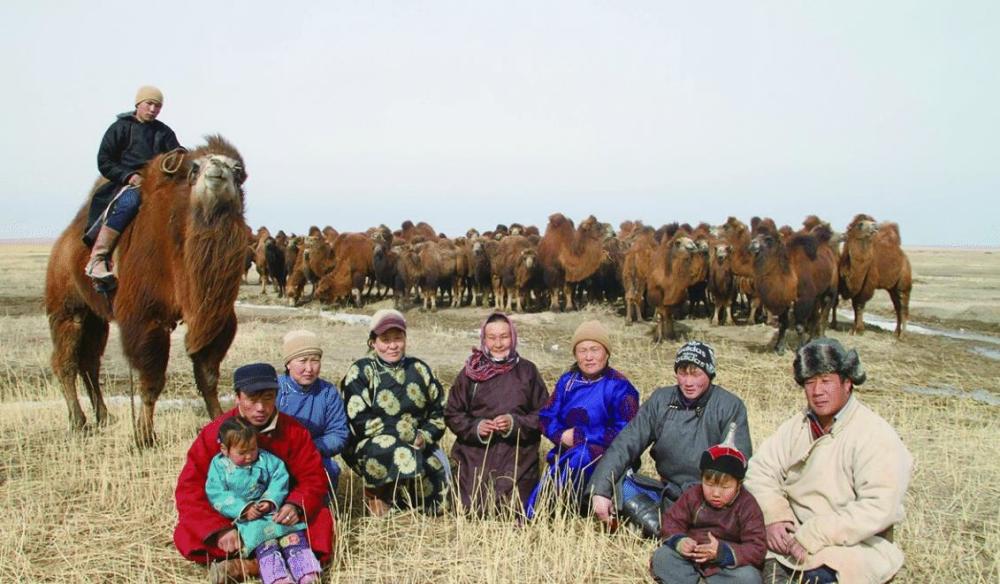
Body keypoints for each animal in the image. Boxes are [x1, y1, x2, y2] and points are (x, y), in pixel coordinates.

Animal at [45, 136, 250, 448]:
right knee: (65, 361)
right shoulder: (145, 315)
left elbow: (208, 374)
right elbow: (152, 379)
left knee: (90, 361)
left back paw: (104, 417)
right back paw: (79, 422)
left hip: (97, 317)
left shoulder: (217, 318)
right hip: (66, 306)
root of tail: (63, 244)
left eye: (237, 170)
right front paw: (144, 436)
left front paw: (219, 420)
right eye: (195, 168)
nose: (216, 169)